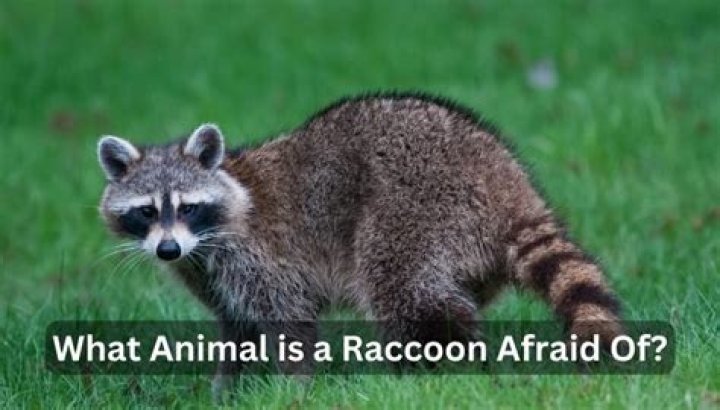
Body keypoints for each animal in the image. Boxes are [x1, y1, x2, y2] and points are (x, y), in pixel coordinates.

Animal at [97, 92, 623, 393]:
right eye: (146, 212)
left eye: (187, 207)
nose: (167, 250)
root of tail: (505, 182)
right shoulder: (209, 272)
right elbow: (239, 330)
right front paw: (227, 391)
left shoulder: (261, 258)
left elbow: (290, 323)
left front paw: (295, 391)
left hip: (414, 210)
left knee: (408, 298)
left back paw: (432, 380)